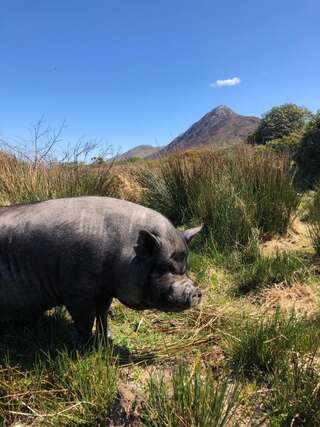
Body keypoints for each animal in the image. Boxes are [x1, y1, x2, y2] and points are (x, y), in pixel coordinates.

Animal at [0, 196, 201, 342]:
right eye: (163, 267)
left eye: (185, 267)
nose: (196, 292)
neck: (121, 254)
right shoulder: (77, 294)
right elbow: (85, 321)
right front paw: (85, 345)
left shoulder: (105, 292)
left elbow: (103, 314)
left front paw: (108, 339)